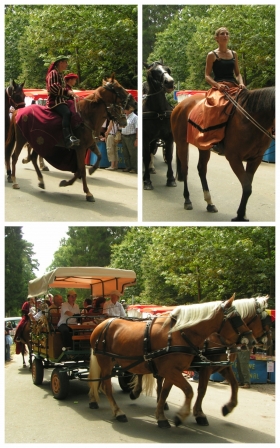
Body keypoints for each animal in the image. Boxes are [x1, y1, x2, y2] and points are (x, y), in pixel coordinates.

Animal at [5, 76, 135, 202]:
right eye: (118, 88)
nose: (133, 102)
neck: (86, 116)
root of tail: (18, 110)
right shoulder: (80, 148)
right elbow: (81, 169)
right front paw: (88, 192)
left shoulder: (90, 145)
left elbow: (98, 158)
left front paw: (89, 171)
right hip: (22, 139)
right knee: (14, 157)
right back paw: (14, 180)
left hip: (39, 142)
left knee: (32, 157)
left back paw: (41, 180)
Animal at [88, 296, 256, 428]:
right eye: (235, 318)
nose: (252, 341)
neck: (179, 334)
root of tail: (101, 324)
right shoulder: (173, 370)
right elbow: (190, 390)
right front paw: (181, 416)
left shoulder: (173, 371)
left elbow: (165, 392)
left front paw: (161, 416)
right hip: (106, 361)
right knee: (106, 386)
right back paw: (118, 412)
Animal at [143, 60, 176, 191]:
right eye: (153, 72)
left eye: (168, 69)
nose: (170, 82)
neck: (159, 112)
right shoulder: (145, 138)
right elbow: (146, 157)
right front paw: (146, 180)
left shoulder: (169, 138)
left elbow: (169, 156)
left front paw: (171, 178)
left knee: (152, 150)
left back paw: (151, 168)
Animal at [171, 86, 276, 221]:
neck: (250, 120)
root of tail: (179, 105)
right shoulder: (234, 158)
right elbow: (247, 187)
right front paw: (240, 215)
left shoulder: (255, 159)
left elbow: (248, 186)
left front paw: (242, 214)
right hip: (181, 143)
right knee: (185, 169)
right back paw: (187, 200)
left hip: (203, 147)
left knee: (201, 169)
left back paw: (209, 203)